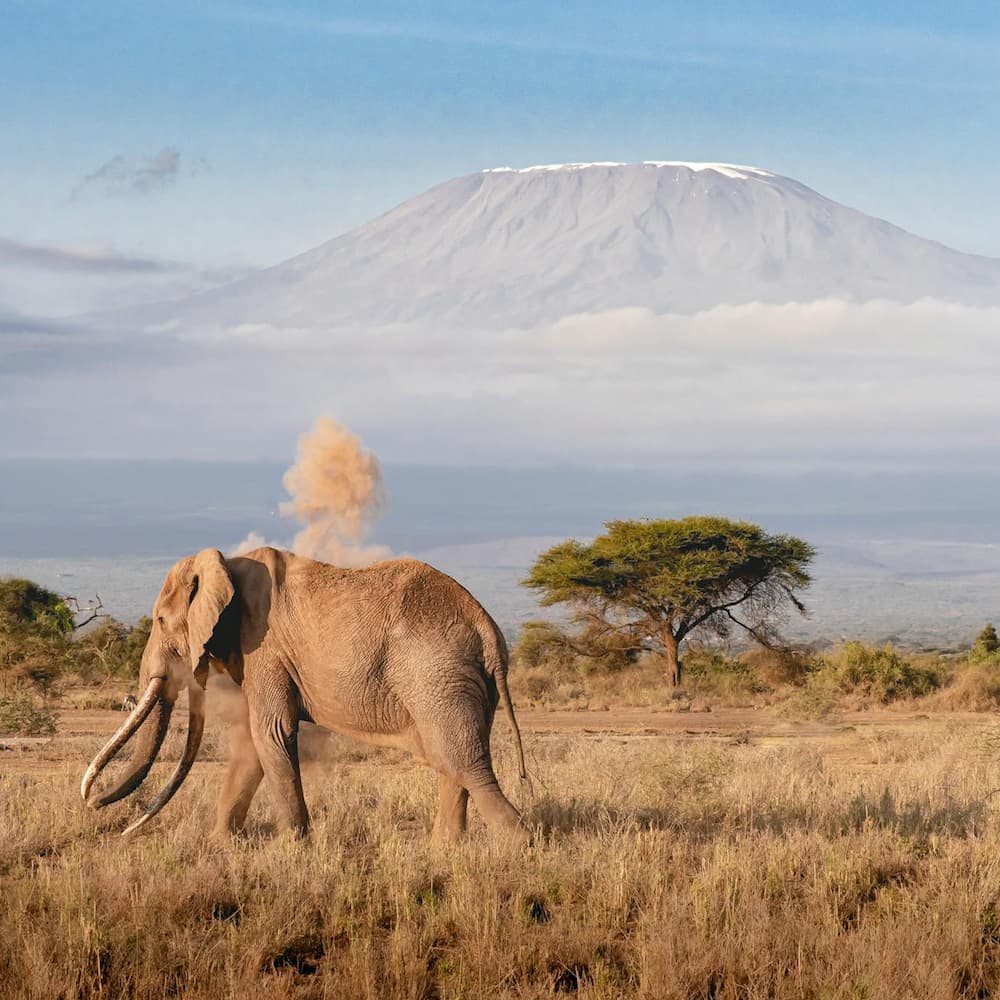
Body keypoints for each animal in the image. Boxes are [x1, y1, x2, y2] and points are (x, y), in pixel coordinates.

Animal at [81, 546, 528, 842]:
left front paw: (293, 849)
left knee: (464, 763)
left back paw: (518, 845)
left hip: (437, 675)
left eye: (159, 620)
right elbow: (254, 743)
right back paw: (445, 852)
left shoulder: (264, 647)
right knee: (452, 761)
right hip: (459, 682)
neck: (226, 564)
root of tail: (488, 629)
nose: (117, 826)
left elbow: (271, 732)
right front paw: (221, 845)